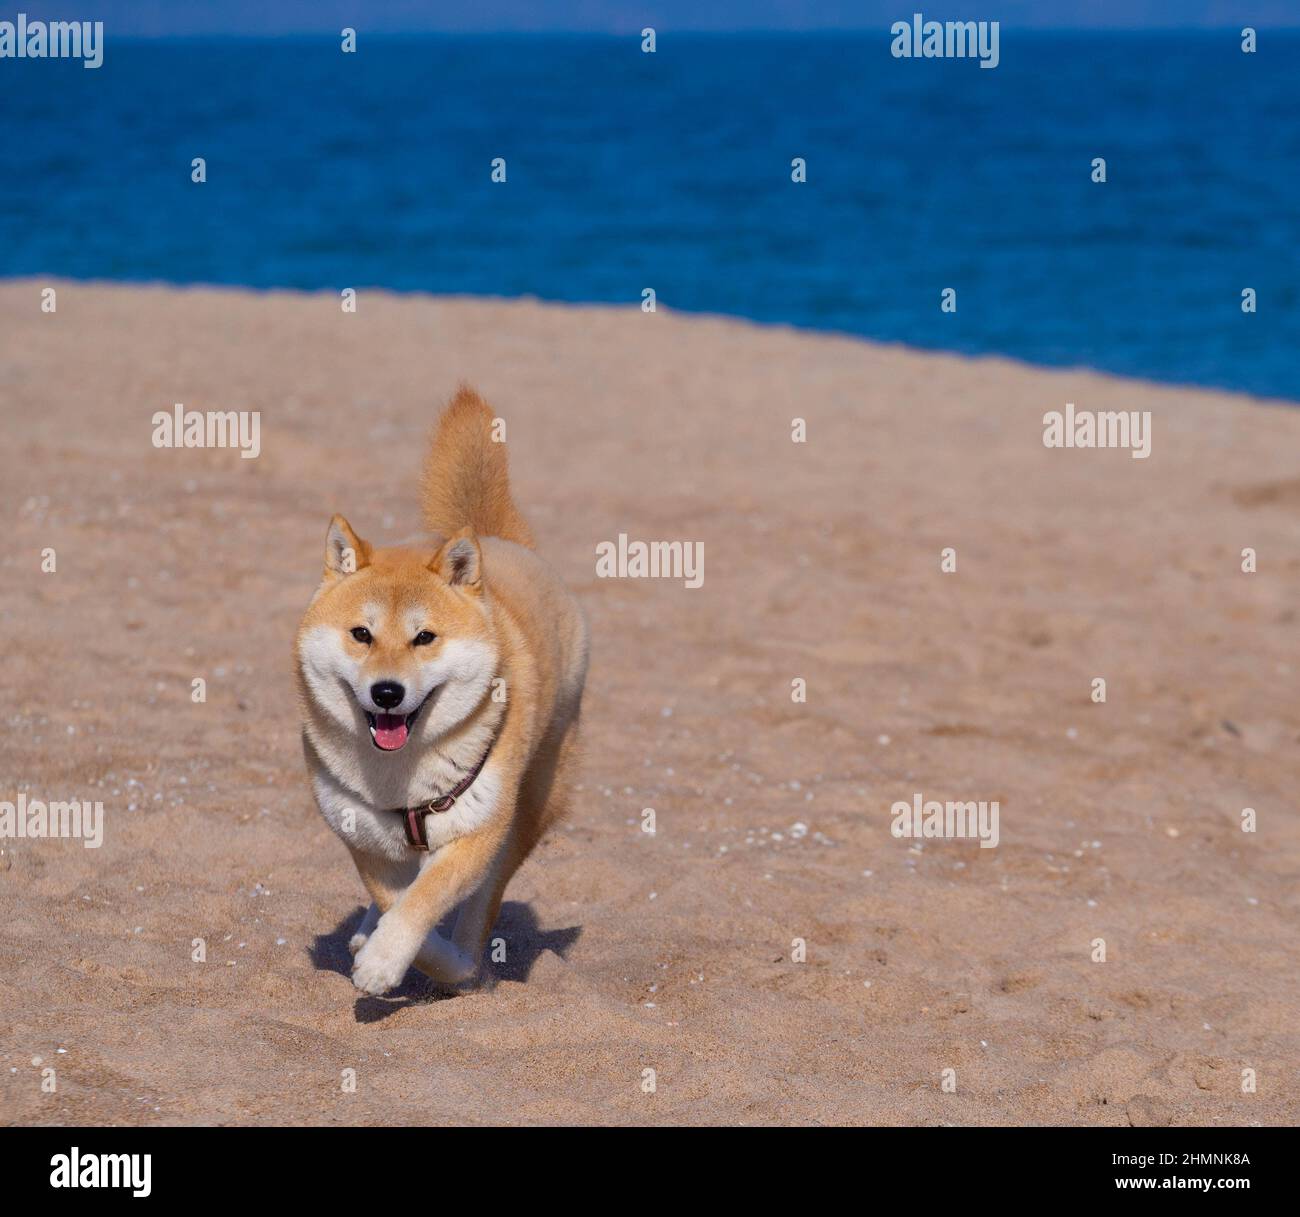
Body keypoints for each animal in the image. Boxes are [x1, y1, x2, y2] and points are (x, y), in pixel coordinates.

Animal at [295, 384, 590, 993]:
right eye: (361, 634)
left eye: (424, 638)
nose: (386, 693)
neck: (400, 777)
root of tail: (497, 538)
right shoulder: (362, 838)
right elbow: (398, 898)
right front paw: (383, 948)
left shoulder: (475, 832)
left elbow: (427, 901)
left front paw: (398, 964)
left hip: (531, 802)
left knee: (482, 902)